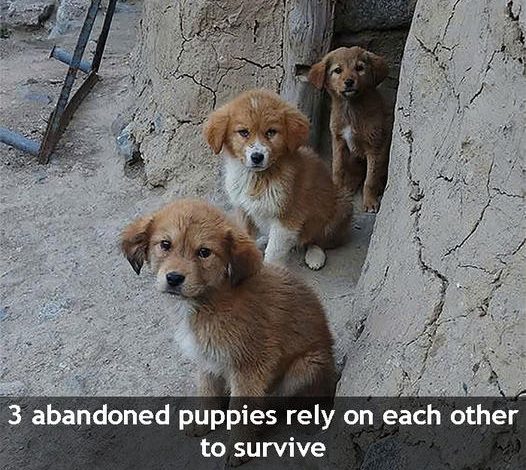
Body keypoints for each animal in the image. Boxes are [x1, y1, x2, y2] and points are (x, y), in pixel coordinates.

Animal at [121, 198, 336, 400]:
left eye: (204, 252)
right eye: (165, 244)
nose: (173, 278)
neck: (209, 300)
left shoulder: (249, 368)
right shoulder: (207, 364)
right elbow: (207, 397)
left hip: (305, 367)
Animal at [204, 89, 356, 270]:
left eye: (271, 132)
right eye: (244, 132)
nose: (257, 157)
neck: (257, 179)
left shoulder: (287, 217)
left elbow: (274, 252)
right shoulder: (243, 210)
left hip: (341, 206)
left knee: (318, 240)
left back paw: (315, 256)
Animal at [310, 45, 392, 211]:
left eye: (359, 68)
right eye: (337, 70)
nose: (349, 82)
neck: (351, 108)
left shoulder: (375, 146)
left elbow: (370, 179)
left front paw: (370, 202)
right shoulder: (338, 140)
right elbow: (338, 168)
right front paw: (337, 189)